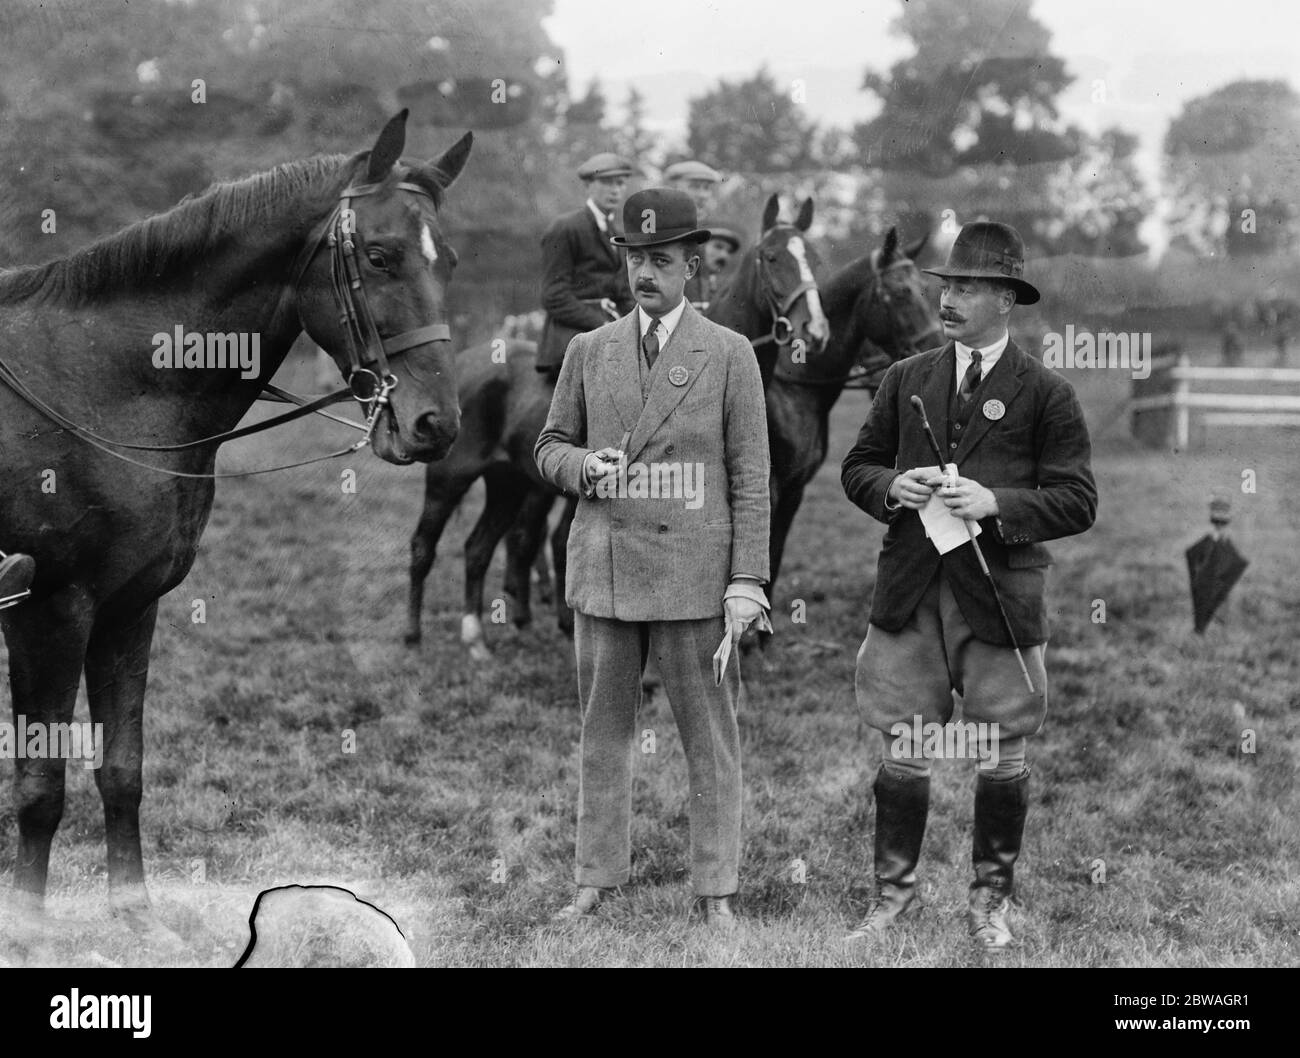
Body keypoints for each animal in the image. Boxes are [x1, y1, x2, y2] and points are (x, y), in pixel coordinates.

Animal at [0, 111, 475, 941]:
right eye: (379, 256)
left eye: (444, 260)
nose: (435, 425)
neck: (96, 385)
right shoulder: (46, 613)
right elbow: (41, 787)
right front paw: (28, 932)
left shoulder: (128, 608)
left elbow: (122, 771)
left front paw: (136, 916)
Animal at [405, 191, 832, 655]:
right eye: (771, 257)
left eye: (815, 258)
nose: (814, 330)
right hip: (450, 478)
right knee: (425, 546)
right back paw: (414, 636)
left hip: (509, 484)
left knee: (480, 547)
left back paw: (478, 636)